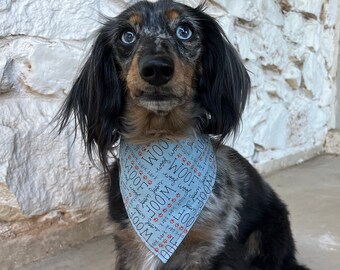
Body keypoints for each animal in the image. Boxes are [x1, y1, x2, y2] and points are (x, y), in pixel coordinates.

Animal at [56, 0, 310, 270]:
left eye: (184, 31)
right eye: (127, 36)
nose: (156, 68)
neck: (159, 136)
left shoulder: (212, 246)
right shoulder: (128, 246)